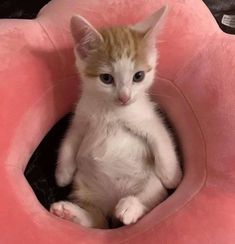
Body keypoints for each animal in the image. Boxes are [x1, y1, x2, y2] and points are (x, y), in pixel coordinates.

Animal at [49, 5, 182, 229]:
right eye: (106, 78)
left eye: (139, 76)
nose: (124, 97)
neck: (112, 111)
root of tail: (112, 204)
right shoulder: (81, 120)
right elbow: (68, 143)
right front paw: (63, 174)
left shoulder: (148, 119)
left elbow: (163, 141)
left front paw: (173, 176)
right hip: (84, 189)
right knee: (97, 222)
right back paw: (70, 212)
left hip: (149, 182)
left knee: (149, 199)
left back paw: (130, 207)